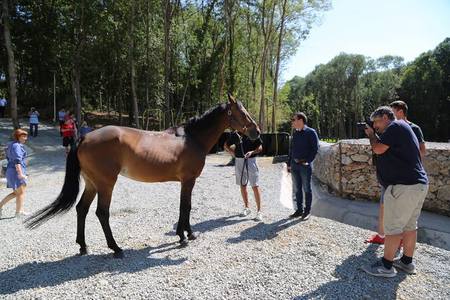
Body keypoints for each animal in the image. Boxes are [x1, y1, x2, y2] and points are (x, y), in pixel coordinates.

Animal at [26, 94, 260, 258]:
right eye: (241, 112)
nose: (256, 132)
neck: (192, 138)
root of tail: (84, 137)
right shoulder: (188, 181)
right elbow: (185, 207)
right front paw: (184, 236)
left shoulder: (186, 182)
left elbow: (186, 206)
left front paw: (187, 234)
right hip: (106, 183)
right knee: (101, 213)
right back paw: (116, 248)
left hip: (92, 183)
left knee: (81, 209)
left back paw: (83, 246)